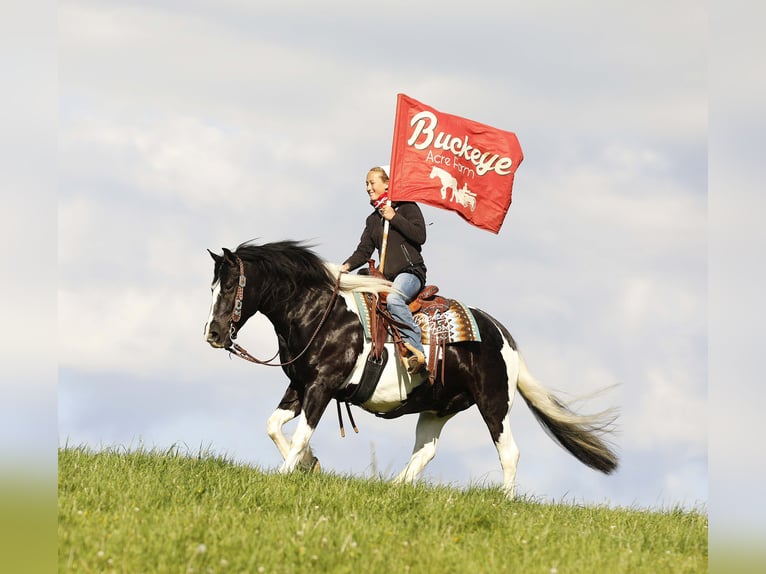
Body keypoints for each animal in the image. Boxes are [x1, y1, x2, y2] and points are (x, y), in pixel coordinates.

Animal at [204, 240, 618, 498]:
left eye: (230, 286)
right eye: (212, 288)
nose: (213, 334)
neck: (321, 313)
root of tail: (500, 333)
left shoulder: (321, 387)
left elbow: (303, 433)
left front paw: (288, 472)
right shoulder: (300, 386)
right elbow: (274, 426)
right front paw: (310, 465)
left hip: (494, 403)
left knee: (509, 452)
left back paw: (505, 500)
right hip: (437, 408)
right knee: (425, 451)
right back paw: (394, 488)